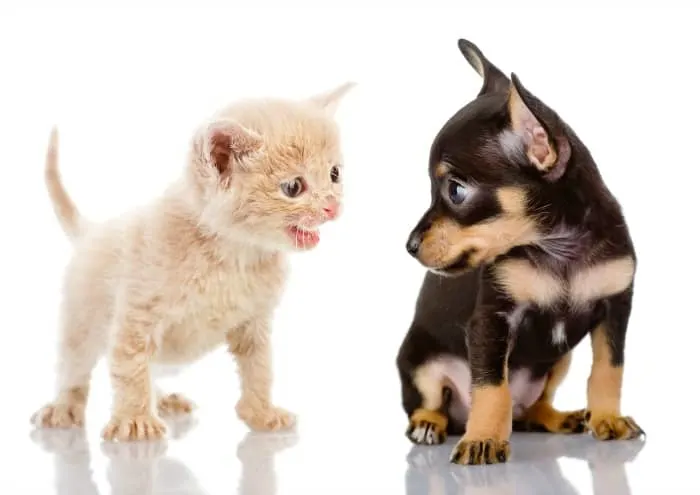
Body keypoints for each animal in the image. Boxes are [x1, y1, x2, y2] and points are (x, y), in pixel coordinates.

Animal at [30, 83, 352, 444]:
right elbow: (130, 367)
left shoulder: (254, 322)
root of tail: (91, 231)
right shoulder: (136, 316)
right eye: (293, 187)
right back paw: (63, 407)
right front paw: (136, 421)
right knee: (75, 367)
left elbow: (259, 369)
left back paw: (163, 399)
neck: (234, 254)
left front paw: (262, 413)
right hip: (81, 322)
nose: (333, 207)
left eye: (335, 174)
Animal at [396, 37, 644, 464]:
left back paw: (560, 417)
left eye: (455, 191)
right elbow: (491, 386)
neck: (559, 248)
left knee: (531, 409)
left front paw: (608, 418)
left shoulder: (615, 309)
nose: (409, 246)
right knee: (428, 402)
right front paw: (483, 438)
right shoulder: (492, 320)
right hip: (420, 364)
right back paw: (431, 424)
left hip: (557, 360)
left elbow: (608, 369)